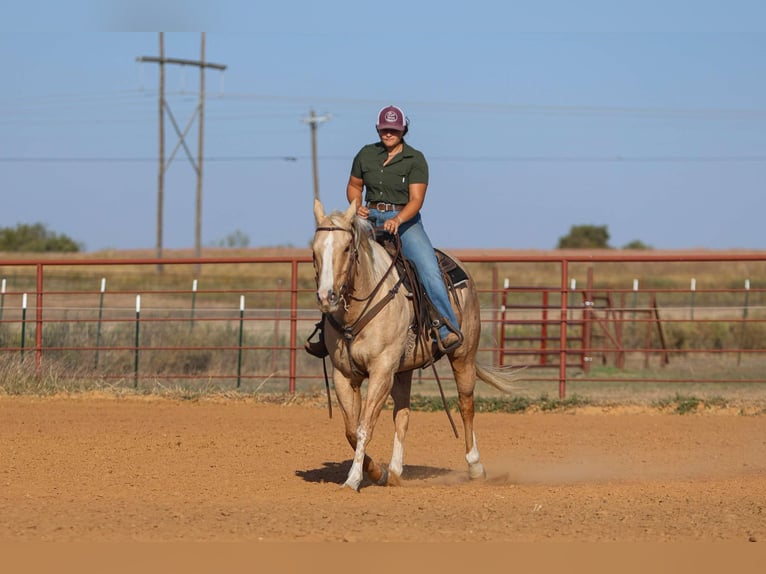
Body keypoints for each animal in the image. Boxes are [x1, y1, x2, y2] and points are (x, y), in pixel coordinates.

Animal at [311, 197, 519, 491]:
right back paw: (395, 471)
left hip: (463, 356)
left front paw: (353, 479)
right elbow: (351, 430)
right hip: (403, 371)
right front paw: (377, 472)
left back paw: (475, 467)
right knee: (403, 415)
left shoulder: (381, 371)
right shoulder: (344, 374)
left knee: (466, 406)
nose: (326, 297)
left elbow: (364, 427)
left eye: (347, 247)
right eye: (314, 251)